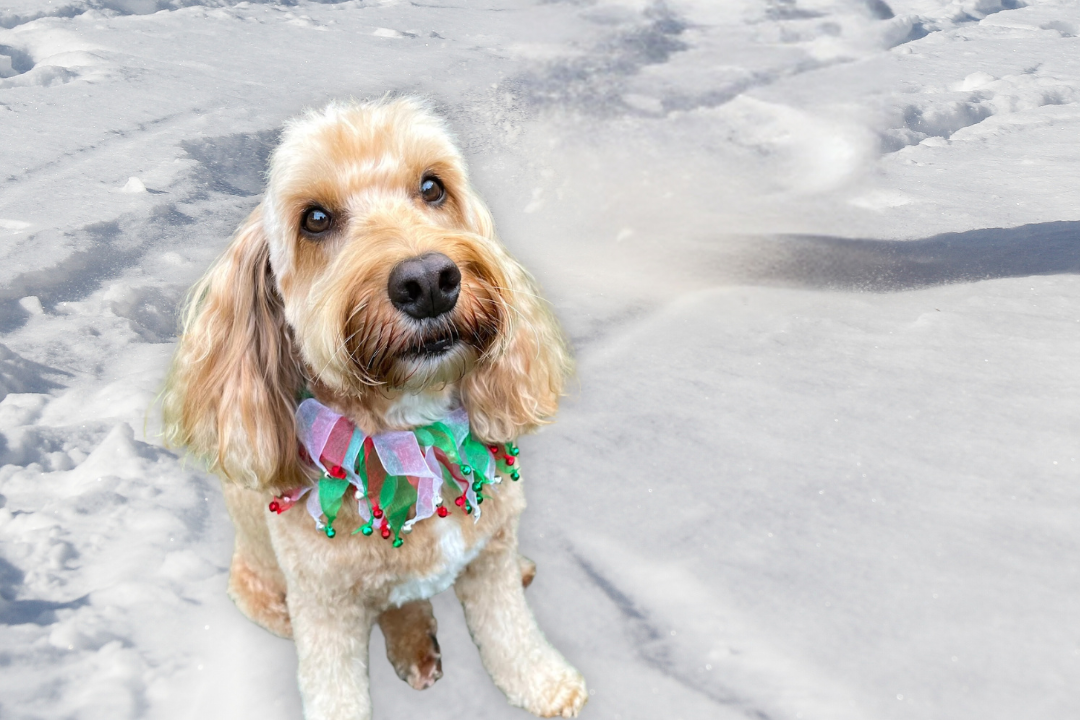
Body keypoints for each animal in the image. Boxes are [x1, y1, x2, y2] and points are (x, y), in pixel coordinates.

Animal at [159, 99, 587, 720]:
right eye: (314, 219)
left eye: (432, 187)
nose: (429, 280)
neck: (410, 434)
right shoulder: (323, 610)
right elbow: (336, 691)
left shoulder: (491, 556)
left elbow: (510, 630)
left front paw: (545, 682)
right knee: (392, 604)